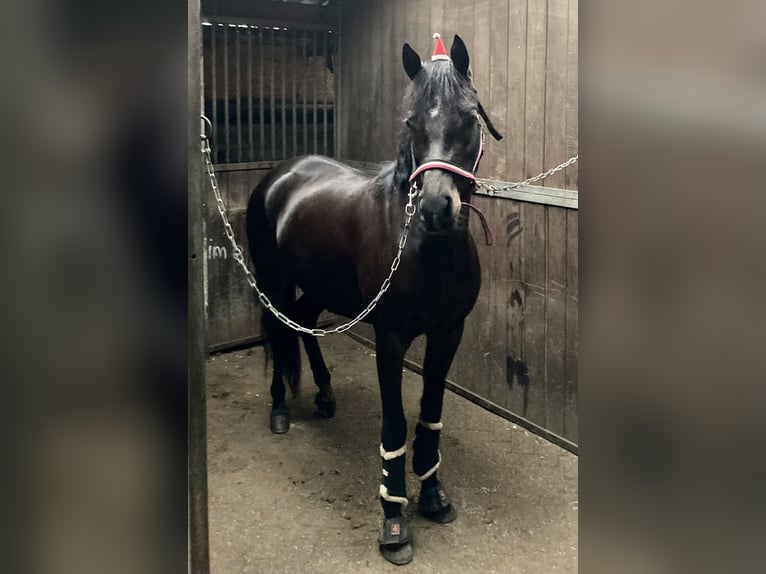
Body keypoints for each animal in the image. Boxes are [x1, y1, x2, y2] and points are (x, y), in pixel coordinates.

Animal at [246, 34, 502, 565]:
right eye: (410, 122)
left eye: (469, 118)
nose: (435, 209)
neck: (426, 249)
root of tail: (280, 174)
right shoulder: (390, 339)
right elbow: (396, 425)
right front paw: (394, 523)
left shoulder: (448, 334)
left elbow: (430, 415)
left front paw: (433, 497)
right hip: (274, 280)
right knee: (279, 329)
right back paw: (279, 409)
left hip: (318, 287)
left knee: (301, 324)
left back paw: (324, 394)